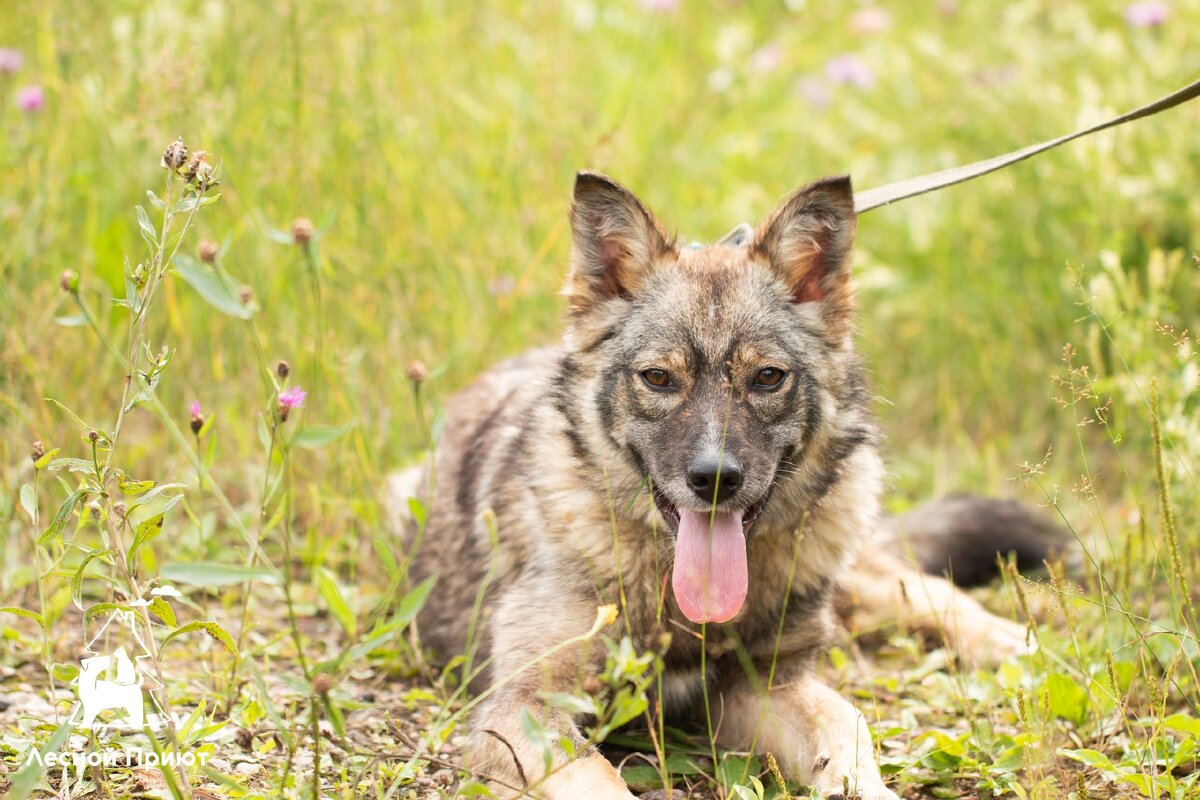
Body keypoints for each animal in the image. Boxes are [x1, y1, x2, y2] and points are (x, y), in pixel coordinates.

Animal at [388, 172, 1056, 796]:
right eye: (658, 378)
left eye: (768, 377)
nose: (714, 481)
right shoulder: (525, 707)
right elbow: (599, 780)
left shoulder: (765, 686)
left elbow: (849, 734)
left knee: (925, 589)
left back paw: (1018, 643)